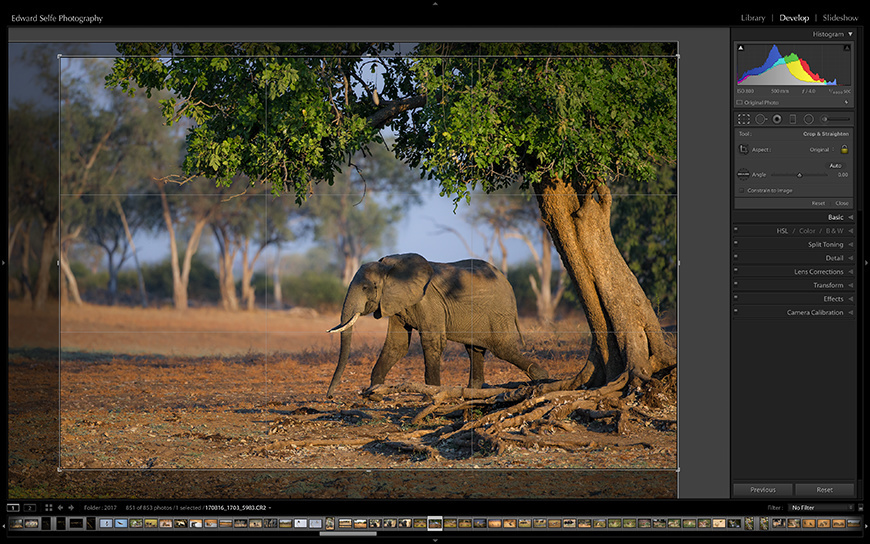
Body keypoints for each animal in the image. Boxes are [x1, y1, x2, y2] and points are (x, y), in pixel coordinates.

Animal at [325, 253, 549, 398]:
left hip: (498, 313)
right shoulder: (395, 302)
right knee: (474, 349)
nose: (329, 396)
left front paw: (430, 395)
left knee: (503, 348)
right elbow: (397, 345)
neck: (390, 267)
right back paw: (472, 392)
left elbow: (432, 341)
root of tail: (507, 283)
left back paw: (542, 378)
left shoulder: (428, 301)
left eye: (366, 287)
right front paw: (375, 394)